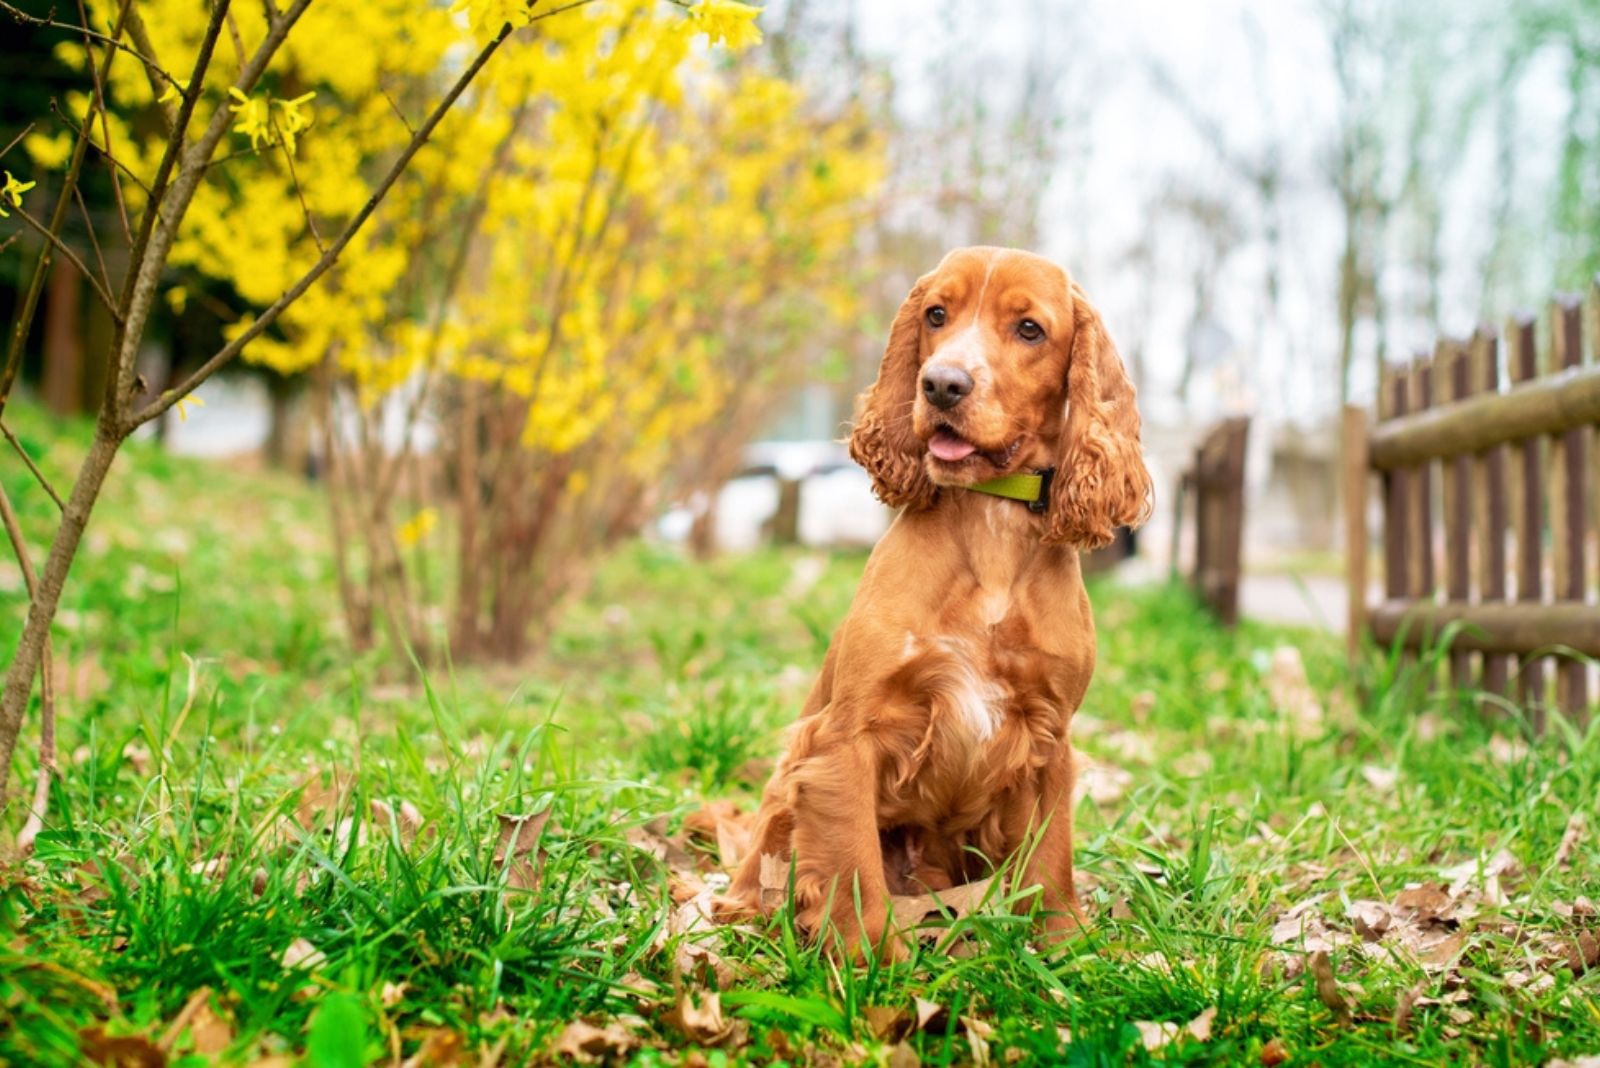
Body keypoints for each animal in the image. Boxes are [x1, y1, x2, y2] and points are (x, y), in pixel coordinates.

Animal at [726, 246, 1152, 952]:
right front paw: (871, 963)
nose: (943, 385)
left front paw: (1066, 949)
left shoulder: (1051, 739)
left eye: (1029, 329)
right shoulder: (844, 737)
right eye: (935, 314)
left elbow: (1051, 859)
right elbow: (852, 867)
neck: (989, 519)